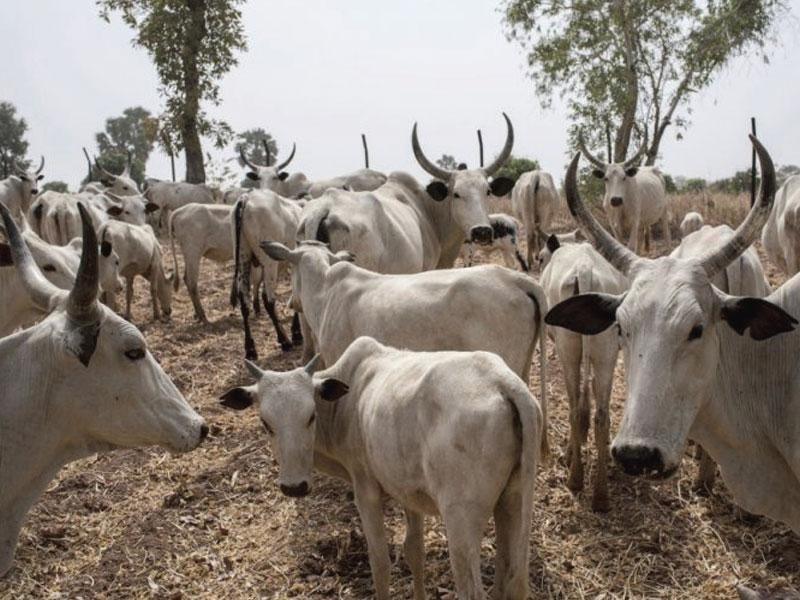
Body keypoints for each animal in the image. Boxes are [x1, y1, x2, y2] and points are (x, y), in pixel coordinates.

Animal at [220, 336, 541, 600]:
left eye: (310, 416)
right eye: (265, 423)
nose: (294, 487)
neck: (347, 402)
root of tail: (503, 381)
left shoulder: (366, 491)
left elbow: (380, 564)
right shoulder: (409, 492)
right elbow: (414, 551)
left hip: (461, 517)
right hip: (511, 502)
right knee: (508, 576)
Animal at [230, 191, 304, 358]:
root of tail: (246, 198)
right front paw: (296, 334)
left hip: (243, 258)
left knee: (244, 301)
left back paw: (250, 349)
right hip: (270, 263)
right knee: (268, 300)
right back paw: (284, 340)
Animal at [539, 233, 627, 511]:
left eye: (540, 258)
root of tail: (584, 269)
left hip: (567, 348)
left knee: (574, 409)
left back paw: (575, 478)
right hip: (606, 352)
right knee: (602, 416)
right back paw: (601, 495)